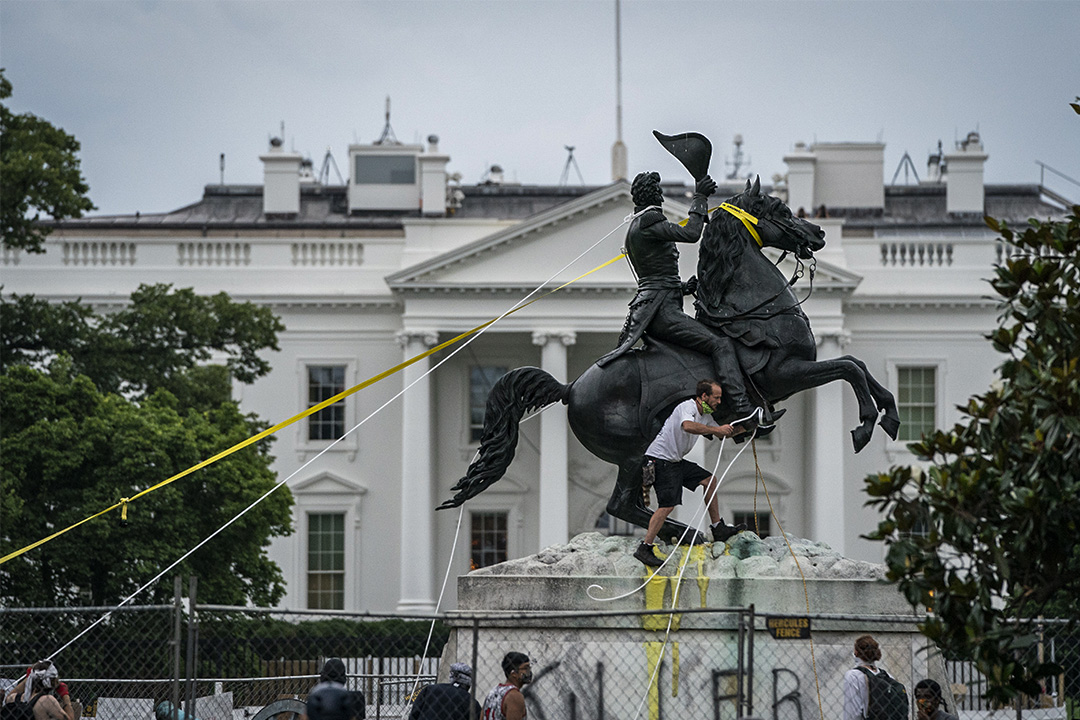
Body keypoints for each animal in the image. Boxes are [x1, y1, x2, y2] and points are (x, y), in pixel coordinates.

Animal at [438, 181, 902, 546]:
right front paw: (864, 424)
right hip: (631, 452)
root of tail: (570, 388)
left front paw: (889, 414)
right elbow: (848, 368)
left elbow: (857, 363)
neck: (755, 310)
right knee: (621, 505)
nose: (820, 231)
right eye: (782, 210)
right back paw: (685, 533)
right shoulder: (783, 375)